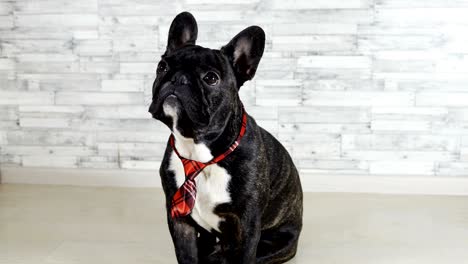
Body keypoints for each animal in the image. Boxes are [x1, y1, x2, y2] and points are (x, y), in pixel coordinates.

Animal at [150, 11, 304, 262]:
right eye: (162, 66)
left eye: (211, 78)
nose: (178, 78)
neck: (200, 154)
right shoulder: (180, 221)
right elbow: (187, 256)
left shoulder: (247, 226)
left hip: (277, 245)